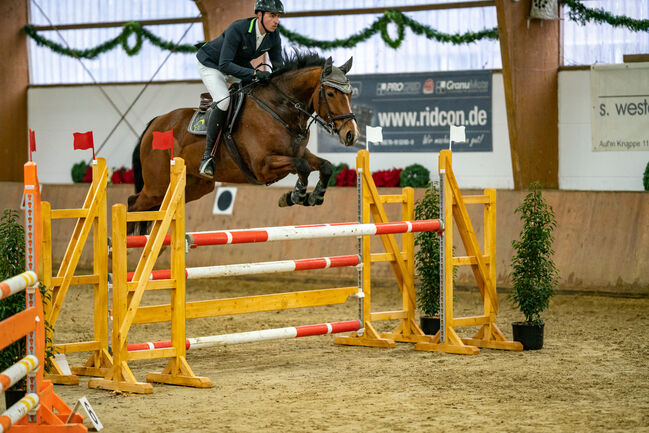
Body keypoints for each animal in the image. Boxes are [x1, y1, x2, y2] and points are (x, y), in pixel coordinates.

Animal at [126, 51, 360, 233]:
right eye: (330, 93)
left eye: (350, 94)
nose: (352, 135)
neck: (280, 109)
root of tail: (156, 123)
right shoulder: (263, 166)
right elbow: (302, 167)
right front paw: (296, 194)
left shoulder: (299, 153)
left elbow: (325, 166)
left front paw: (313, 196)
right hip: (156, 186)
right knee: (132, 205)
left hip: (195, 186)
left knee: (160, 209)